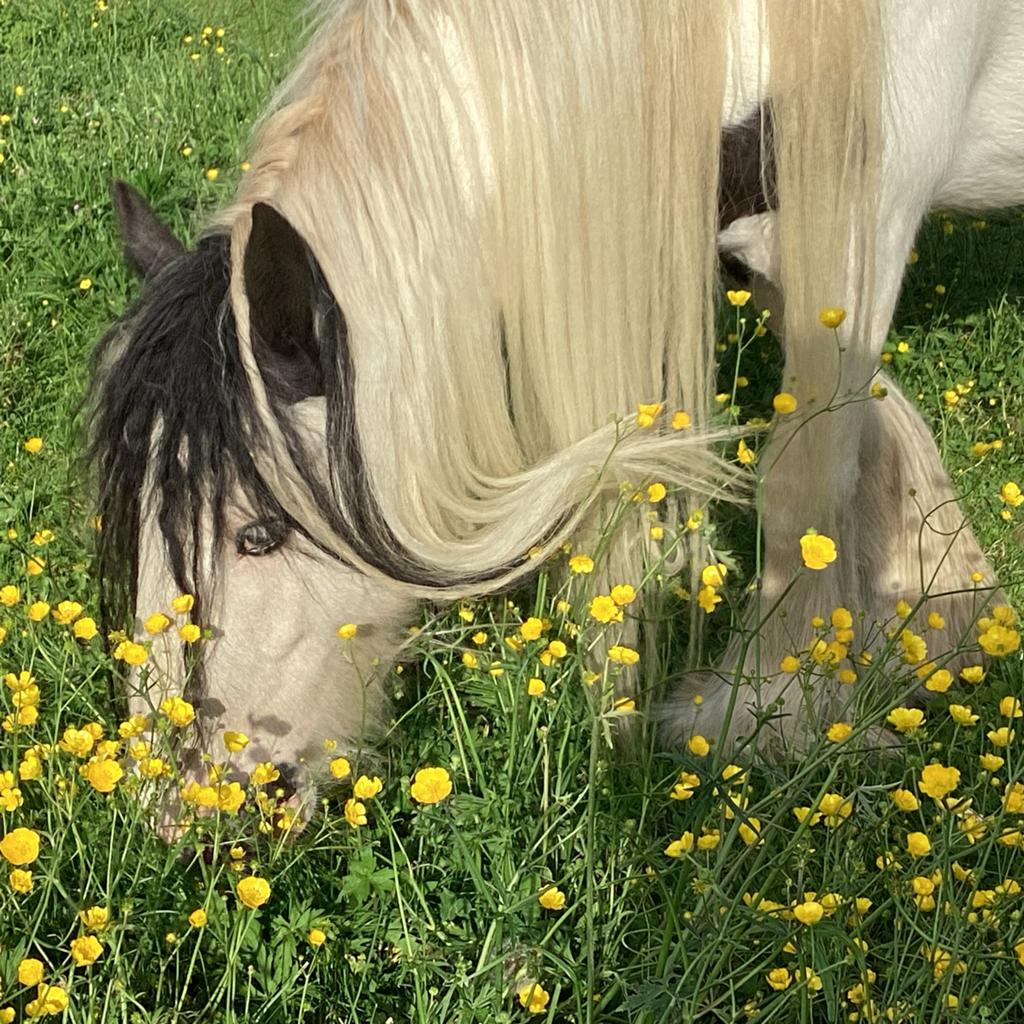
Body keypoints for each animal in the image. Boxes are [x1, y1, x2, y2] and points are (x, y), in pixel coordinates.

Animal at [89, 0, 1019, 808]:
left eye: (259, 534)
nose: (179, 812)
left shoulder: (861, 216)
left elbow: (806, 481)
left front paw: (766, 710)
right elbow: (873, 424)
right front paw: (930, 611)